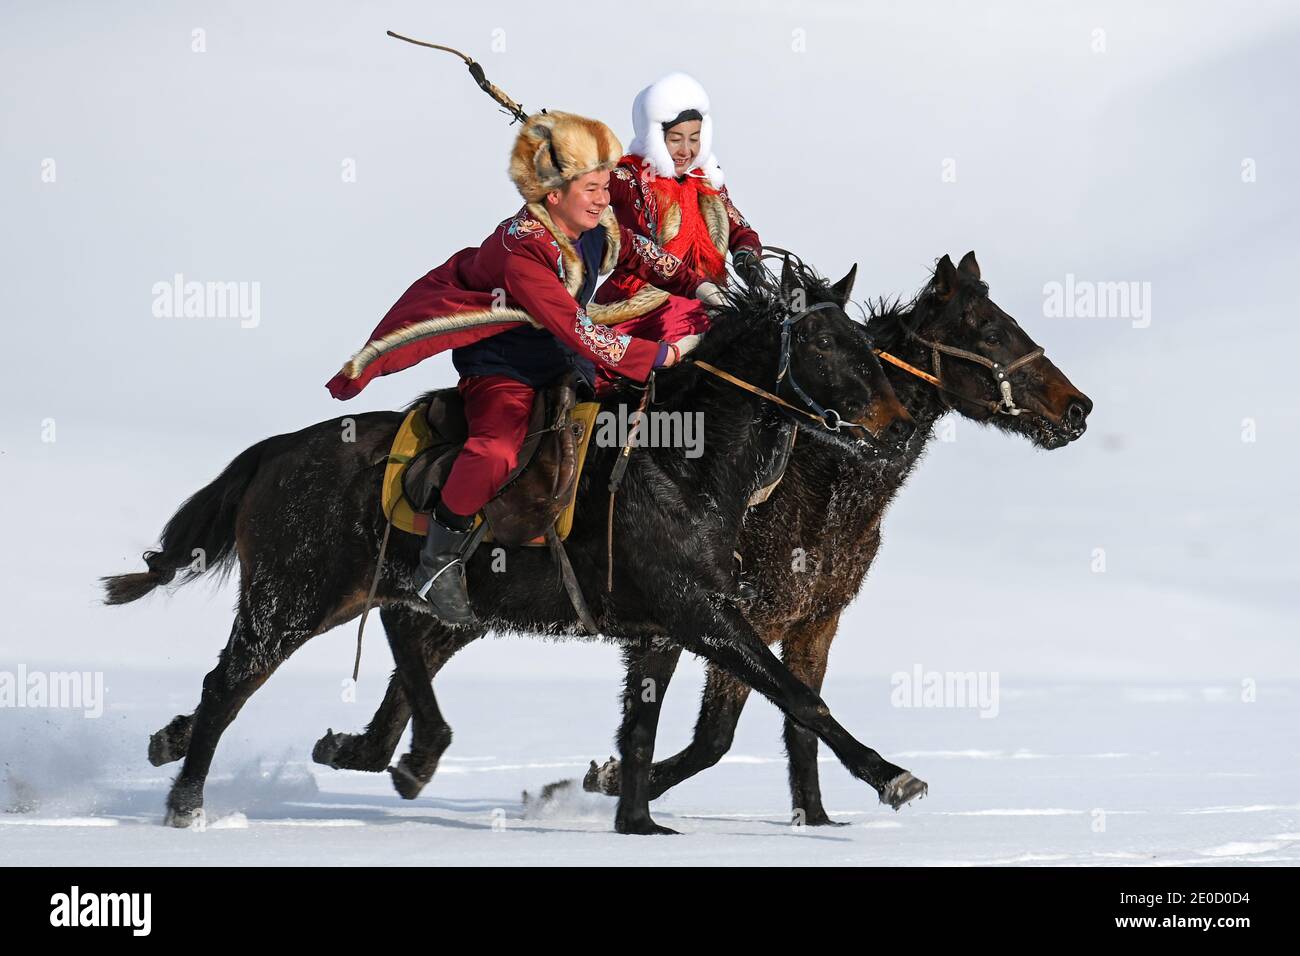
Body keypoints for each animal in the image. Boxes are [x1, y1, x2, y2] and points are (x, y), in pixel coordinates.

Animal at [312, 256, 1086, 832]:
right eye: (987, 330)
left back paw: (371, 752)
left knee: (419, 644)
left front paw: (815, 818)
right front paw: (612, 780)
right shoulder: (724, 616)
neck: (820, 483)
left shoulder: (812, 620)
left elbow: (798, 721)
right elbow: (724, 734)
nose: (1077, 409)